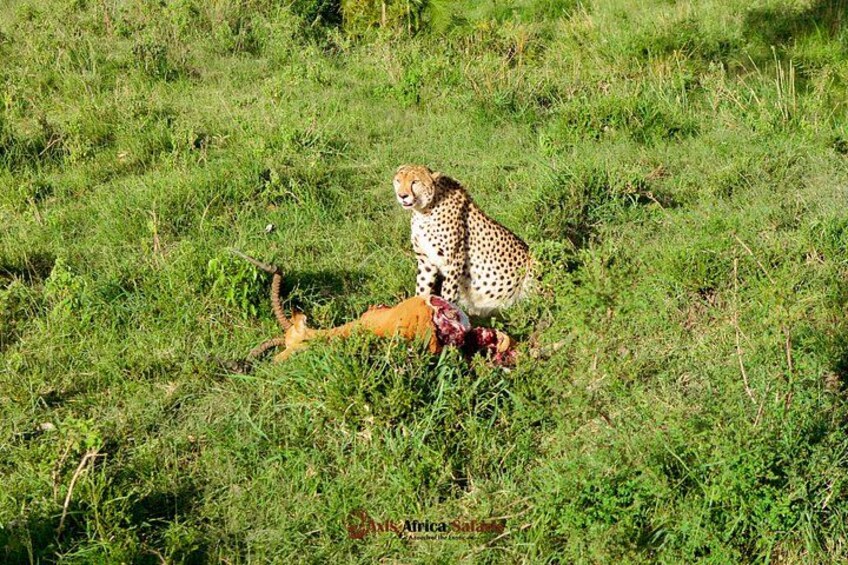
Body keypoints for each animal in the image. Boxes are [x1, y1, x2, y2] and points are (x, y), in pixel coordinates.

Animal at [393, 164, 533, 317]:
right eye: (398, 181)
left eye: (415, 182)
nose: (402, 196)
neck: (424, 212)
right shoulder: (426, 261)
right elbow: (422, 289)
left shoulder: (454, 260)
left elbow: (448, 293)